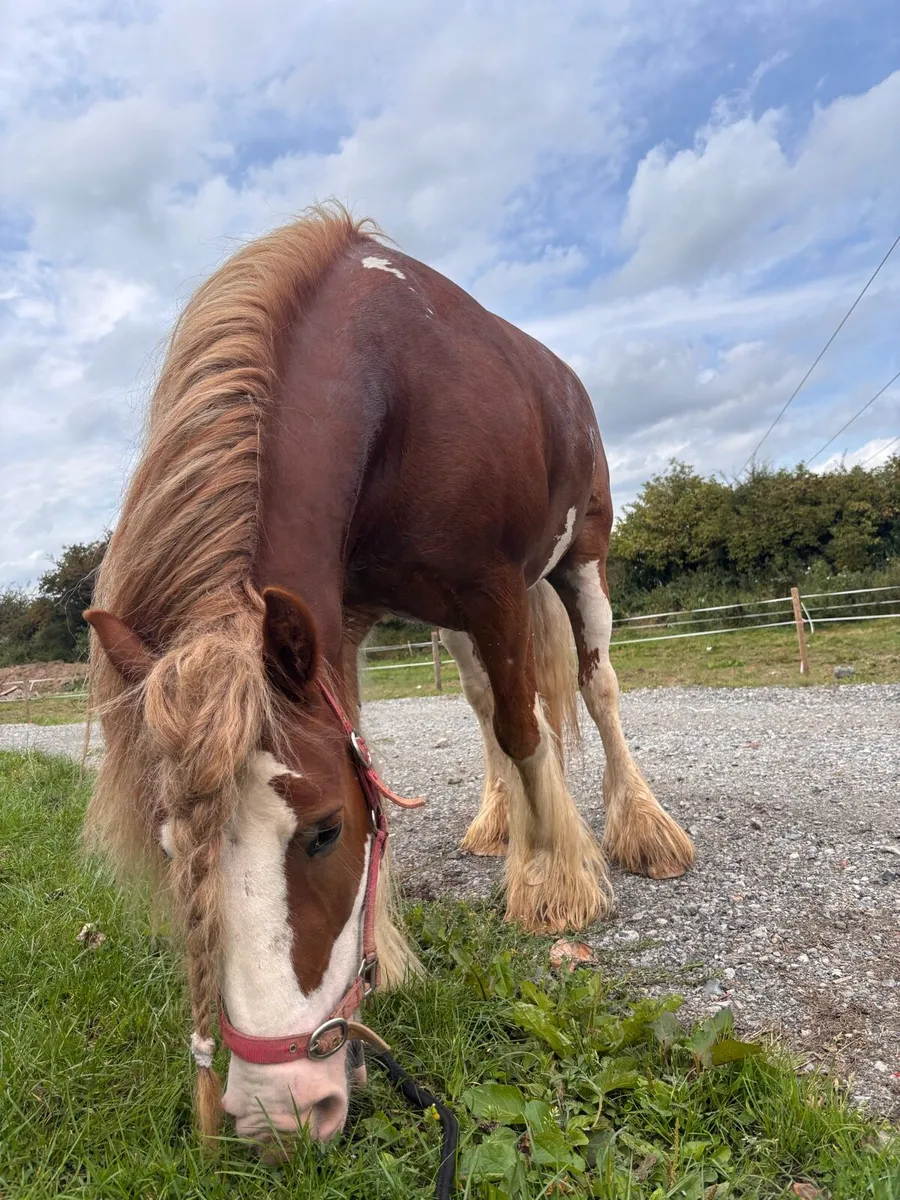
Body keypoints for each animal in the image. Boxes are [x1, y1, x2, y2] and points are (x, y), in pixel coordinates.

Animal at [85, 205, 694, 1153]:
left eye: (324, 833)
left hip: (576, 559)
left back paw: (638, 828)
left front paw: (553, 882)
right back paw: (499, 821)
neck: (394, 384)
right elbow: (414, 738)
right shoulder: (348, 615)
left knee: (592, 689)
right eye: (172, 850)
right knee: (484, 702)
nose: (278, 1112)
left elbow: (527, 727)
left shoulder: (491, 587)